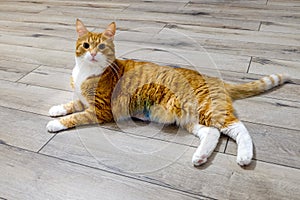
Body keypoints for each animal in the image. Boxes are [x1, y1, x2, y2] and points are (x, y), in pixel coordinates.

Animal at [47, 19, 290, 166]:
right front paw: (56, 109)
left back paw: (245, 156)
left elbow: (76, 117)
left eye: (102, 47)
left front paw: (55, 123)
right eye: (86, 45)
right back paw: (200, 156)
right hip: (190, 118)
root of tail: (216, 79)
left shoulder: (100, 109)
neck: (85, 73)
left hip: (208, 108)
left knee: (238, 128)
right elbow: (72, 105)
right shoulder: (83, 101)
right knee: (212, 133)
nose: (93, 54)